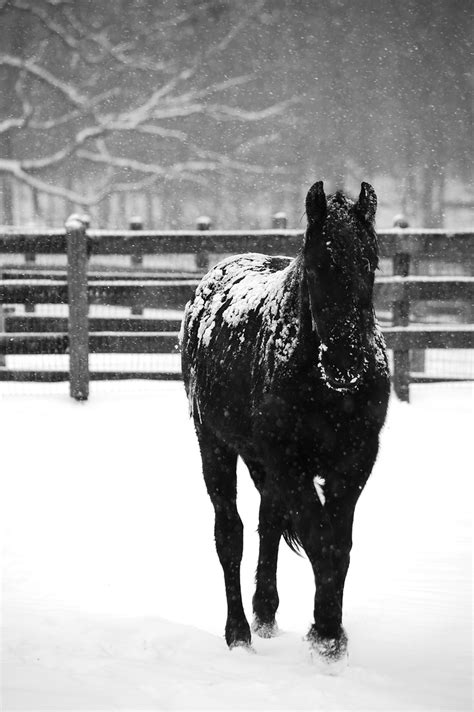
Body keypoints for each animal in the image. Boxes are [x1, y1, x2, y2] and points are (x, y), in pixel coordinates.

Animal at [181, 181, 388, 664]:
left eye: (370, 263)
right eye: (316, 265)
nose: (346, 364)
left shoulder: (354, 462)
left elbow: (338, 545)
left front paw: (327, 632)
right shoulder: (289, 462)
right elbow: (318, 538)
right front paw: (327, 635)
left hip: (261, 462)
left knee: (268, 523)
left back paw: (266, 613)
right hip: (214, 445)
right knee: (230, 535)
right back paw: (239, 632)